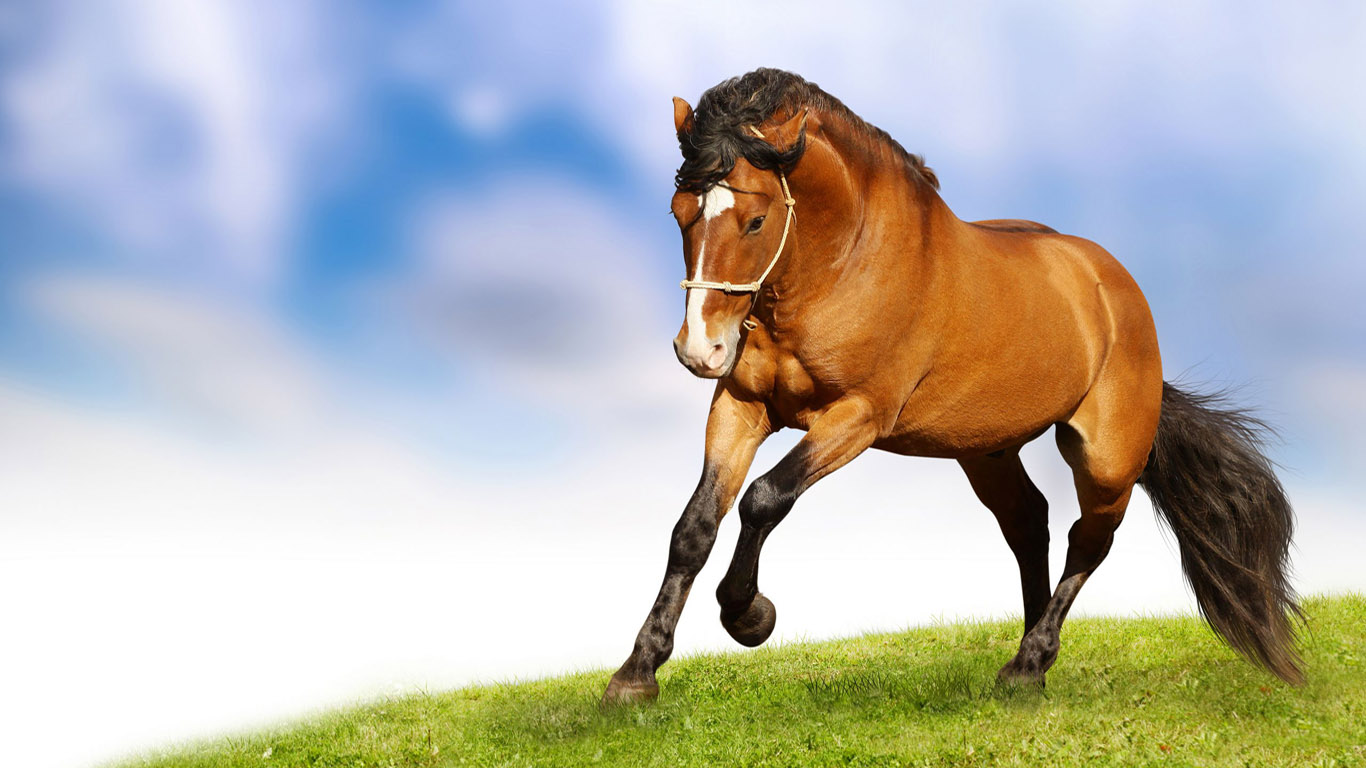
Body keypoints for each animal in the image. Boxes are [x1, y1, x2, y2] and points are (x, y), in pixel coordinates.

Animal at [603, 68, 1300, 704]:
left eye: (753, 220)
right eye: (679, 213)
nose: (700, 349)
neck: (841, 265)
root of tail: (1115, 287)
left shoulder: (857, 416)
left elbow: (764, 499)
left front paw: (749, 615)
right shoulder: (742, 406)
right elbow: (695, 526)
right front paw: (636, 675)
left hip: (1106, 457)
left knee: (1089, 541)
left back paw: (1028, 664)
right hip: (986, 449)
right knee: (1029, 523)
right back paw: (1031, 663)